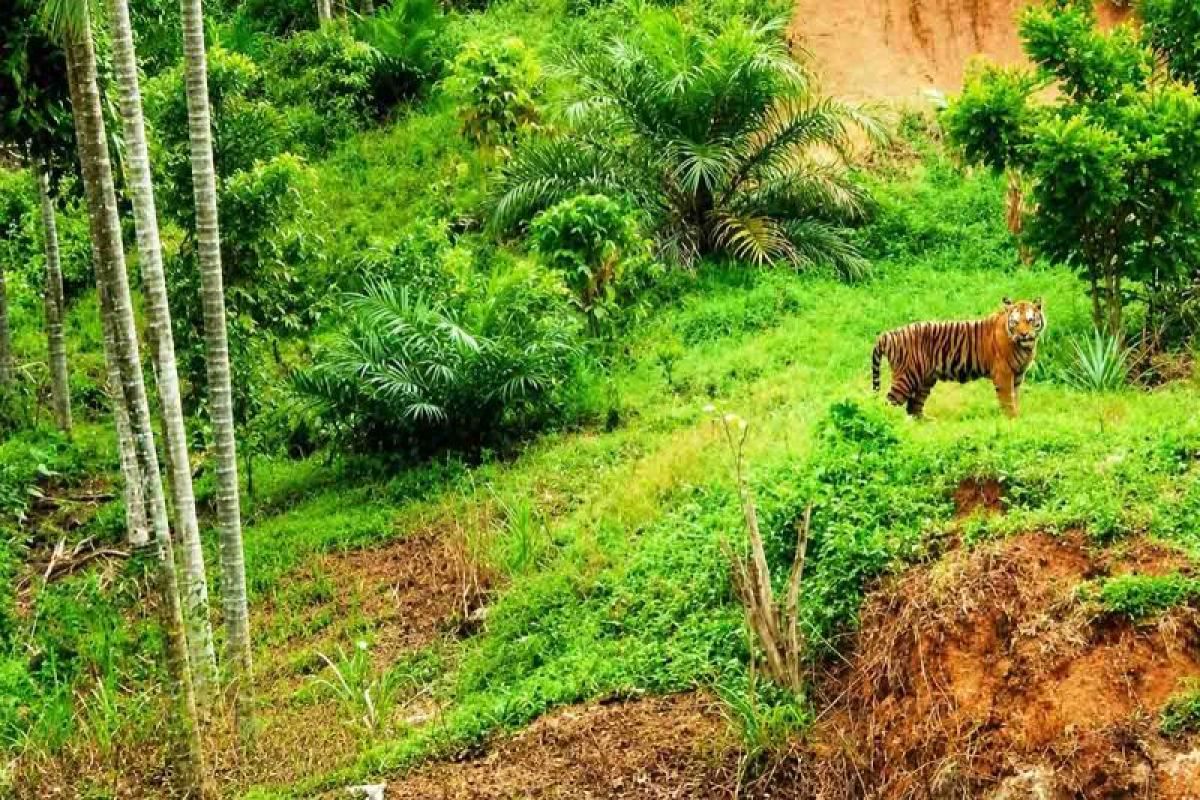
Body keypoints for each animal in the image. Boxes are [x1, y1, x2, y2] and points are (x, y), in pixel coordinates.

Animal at [871, 298, 1045, 418]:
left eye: (1030, 320)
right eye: (1015, 322)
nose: (1023, 334)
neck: (1025, 346)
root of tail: (889, 334)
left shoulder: (1017, 375)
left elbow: (1015, 397)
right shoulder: (1003, 374)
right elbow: (1008, 400)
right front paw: (1012, 420)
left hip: (925, 379)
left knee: (913, 407)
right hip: (907, 376)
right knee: (889, 402)